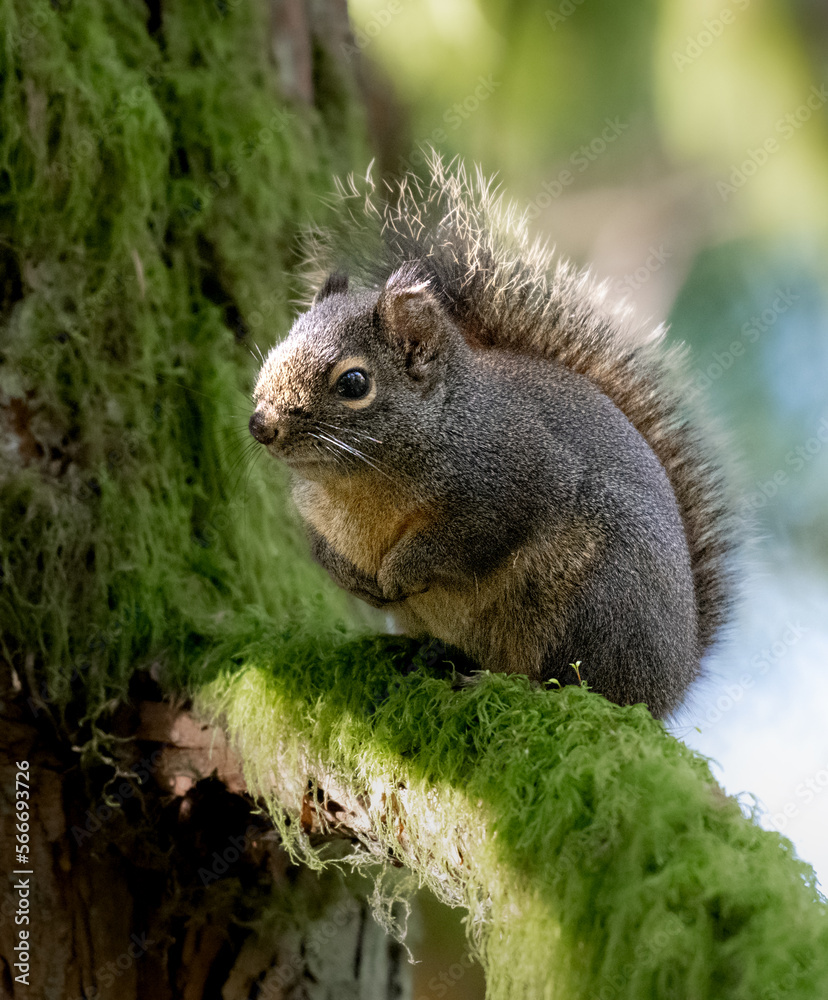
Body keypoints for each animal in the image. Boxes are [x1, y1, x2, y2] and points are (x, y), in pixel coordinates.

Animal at [247, 156, 732, 716]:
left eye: (353, 383)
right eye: (277, 347)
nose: (261, 424)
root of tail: (675, 678)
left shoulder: (514, 481)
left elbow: (461, 541)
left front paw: (398, 573)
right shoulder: (314, 511)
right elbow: (323, 550)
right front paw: (356, 581)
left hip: (596, 598)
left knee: (578, 684)